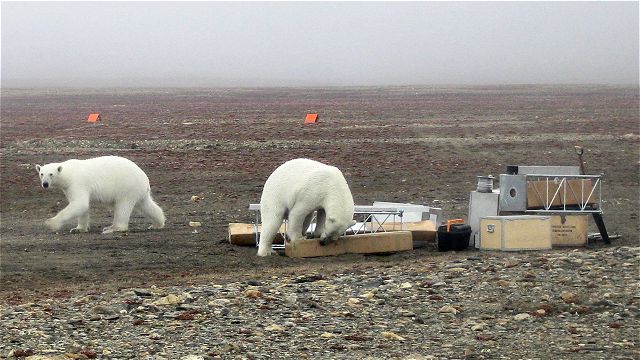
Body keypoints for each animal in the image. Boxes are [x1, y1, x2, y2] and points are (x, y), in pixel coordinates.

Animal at [35, 155, 166, 233]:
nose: (45, 184)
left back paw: (113, 228)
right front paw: (78, 229)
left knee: (122, 207)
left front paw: (51, 223)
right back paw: (157, 224)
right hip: (138, 191)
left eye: (51, 174)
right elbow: (82, 207)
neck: (68, 174)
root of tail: (145, 179)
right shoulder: (68, 188)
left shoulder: (77, 183)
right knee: (147, 205)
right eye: (41, 173)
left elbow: (80, 204)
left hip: (127, 187)